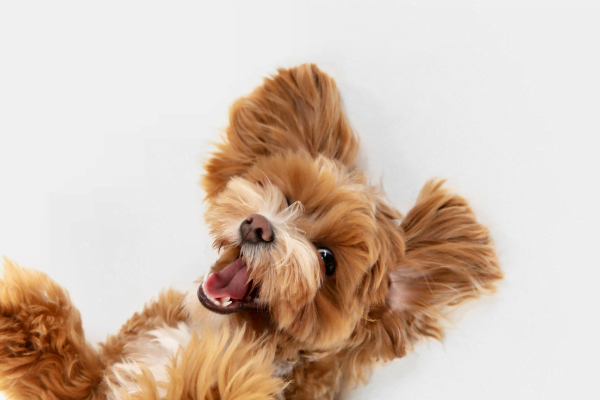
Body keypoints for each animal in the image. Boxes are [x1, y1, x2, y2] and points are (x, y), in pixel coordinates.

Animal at [0, 64, 502, 398]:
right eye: (284, 194)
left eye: (328, 259)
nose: (259, 226)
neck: (213, 331)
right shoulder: (93, 381)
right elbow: (64, 363)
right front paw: (15, 308)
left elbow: (211, 381)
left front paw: (215, 368)